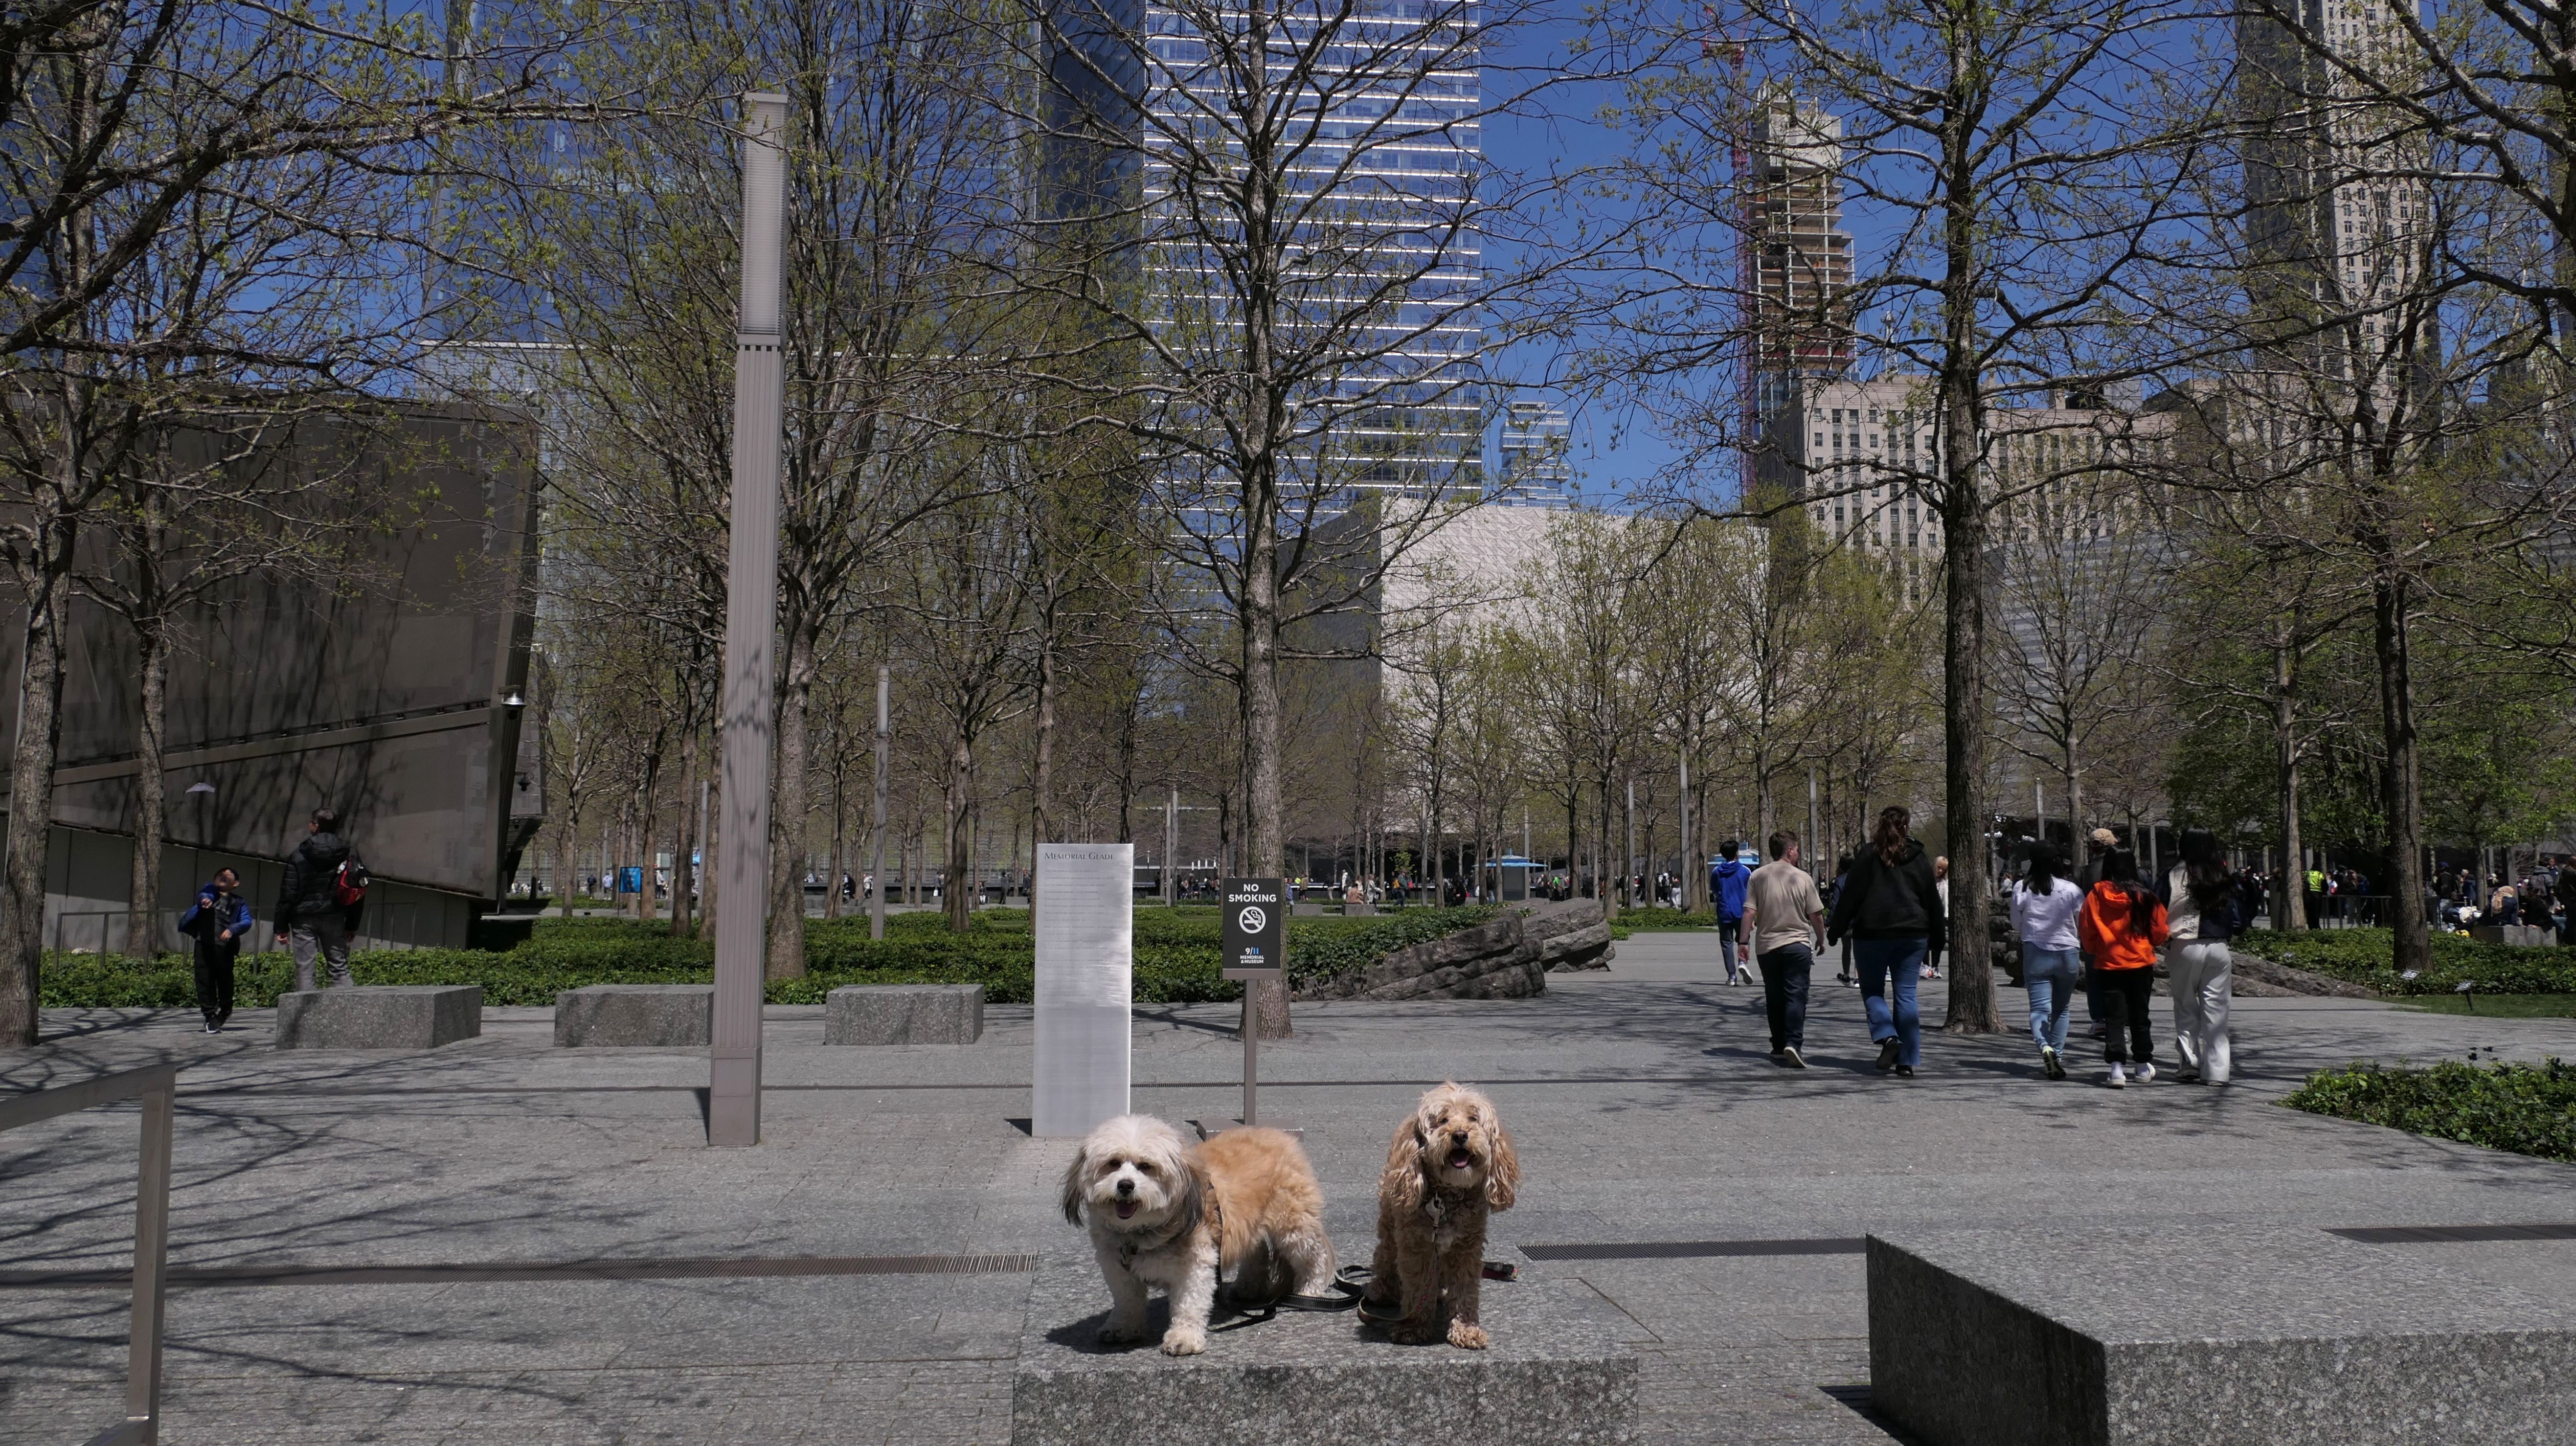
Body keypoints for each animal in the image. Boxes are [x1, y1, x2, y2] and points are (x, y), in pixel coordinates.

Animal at [1060, 1115, 1337, 1356]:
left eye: (1146, 1167)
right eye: (1113, 1163)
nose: (1125, 1185)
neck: (1142, 1233)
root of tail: (1279, 1135)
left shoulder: (1195, 1263)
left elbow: (1189, 1303)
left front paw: (1184, 1338)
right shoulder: (1117, 1267)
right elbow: (1127, 1300)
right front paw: (1121, 1327)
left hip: (1293, 1225)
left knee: (1313, 1257)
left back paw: (1309, 1291)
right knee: (1255, 1250)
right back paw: (1248, 1286)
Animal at [1365, 1081, 1518, 1348]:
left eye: (1473, 1118)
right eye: (1443, 1120)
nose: (1460, 1135)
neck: (1446, 1199)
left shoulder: (1467, 1247)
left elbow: (1466, 1290)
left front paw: (1466, 1329)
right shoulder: (1417, 1245)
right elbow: (1417, 1286)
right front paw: (1413, 1325)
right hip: (1390, 1218)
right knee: (1385, 1253)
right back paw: (1382, 1289)